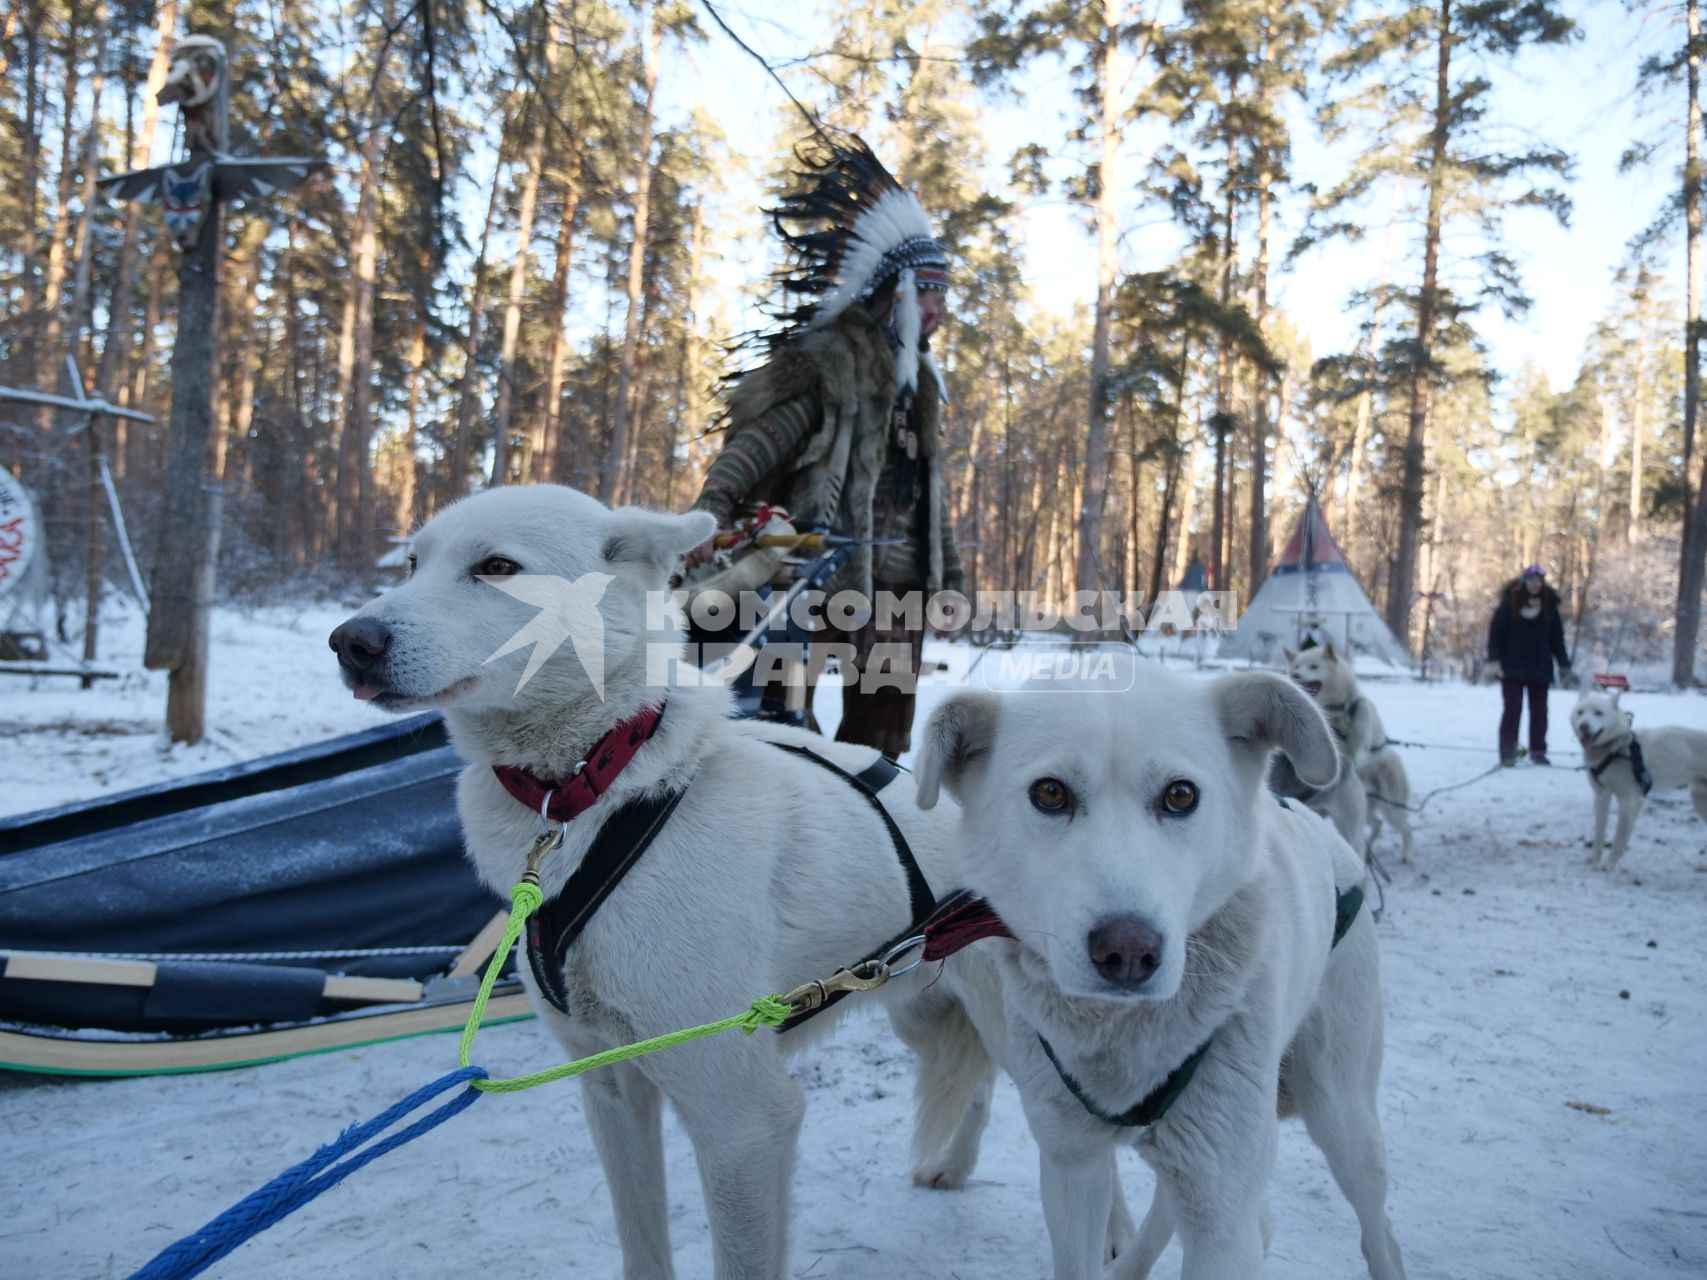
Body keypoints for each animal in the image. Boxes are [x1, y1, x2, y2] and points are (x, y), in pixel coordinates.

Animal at [329, 484, 990, 1280]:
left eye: (496, 566)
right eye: (412, 563)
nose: (349, 641)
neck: (591, 789)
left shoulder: (743, 1118)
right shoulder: (611, 1088)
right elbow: (640, 1239)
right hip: (919, 1011)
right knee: (981, 1081)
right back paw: (952, 1167)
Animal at [914, 665, 1406, 1280]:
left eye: (1180, 794)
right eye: (1050, 793)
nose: (1127, 951)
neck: (1121, 1042)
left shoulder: (1222, 1207)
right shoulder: (1072, 1167)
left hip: (1342, 1118)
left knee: (1377, 1231)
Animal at [1283, 641, 1420, 863]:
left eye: (1313, 666)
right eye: (1296, 667)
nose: (1295, 675)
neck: (1335, 711)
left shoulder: (1360, 732)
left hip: (1391, 809)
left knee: (1405, 828)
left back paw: (1406, 855)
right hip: (1368, 810)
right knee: (1376, 825)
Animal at [1563, 692, 1707, 873]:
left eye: (1598, 713)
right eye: (1580, 712)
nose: (1583, 726)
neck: (1615, 748)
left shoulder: (1630, 801)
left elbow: (1620, 838)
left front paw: (1608, 864)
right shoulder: (1602, 796)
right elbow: (1599, 833)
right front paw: (1594, 858)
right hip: (1699, 799)